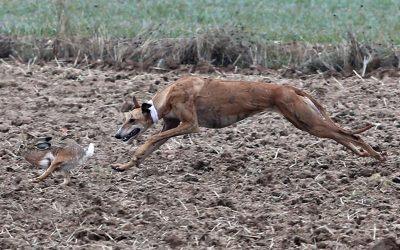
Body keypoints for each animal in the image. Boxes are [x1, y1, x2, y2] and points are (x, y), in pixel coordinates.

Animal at [111, 76, 386, 171]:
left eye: (131, 120)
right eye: (123, 120)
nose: (116, 135)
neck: (165, 99)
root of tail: (290, 88)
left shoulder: (190, 125)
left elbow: (149, 137)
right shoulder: (171, 128)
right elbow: (147, 148)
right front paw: (124, 165)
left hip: (308, 122)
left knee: (351, 134)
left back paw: (376, 156)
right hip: (307, 123)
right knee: (342, 135)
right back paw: (362, 154)